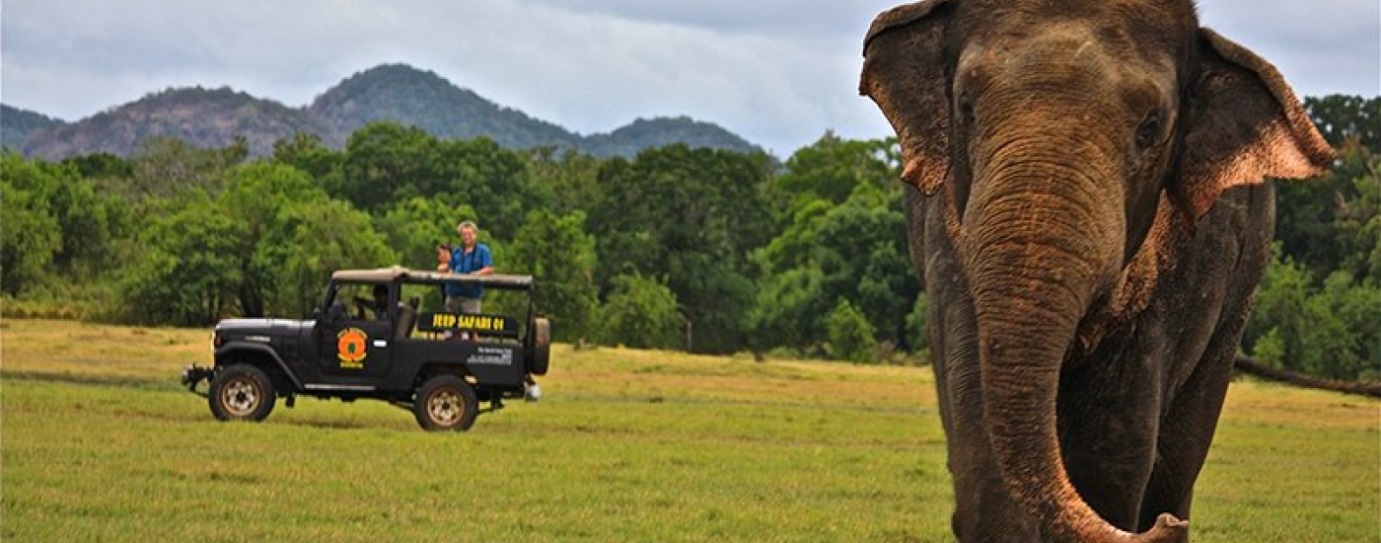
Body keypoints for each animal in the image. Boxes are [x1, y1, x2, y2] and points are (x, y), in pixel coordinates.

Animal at [856, 1, 1331, 541]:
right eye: (966, 107)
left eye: (1150, 128)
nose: (1166, 526)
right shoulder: (944, 248)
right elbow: (983, 467)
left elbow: (1111, 464)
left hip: (1236, 303)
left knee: (1177, 464)